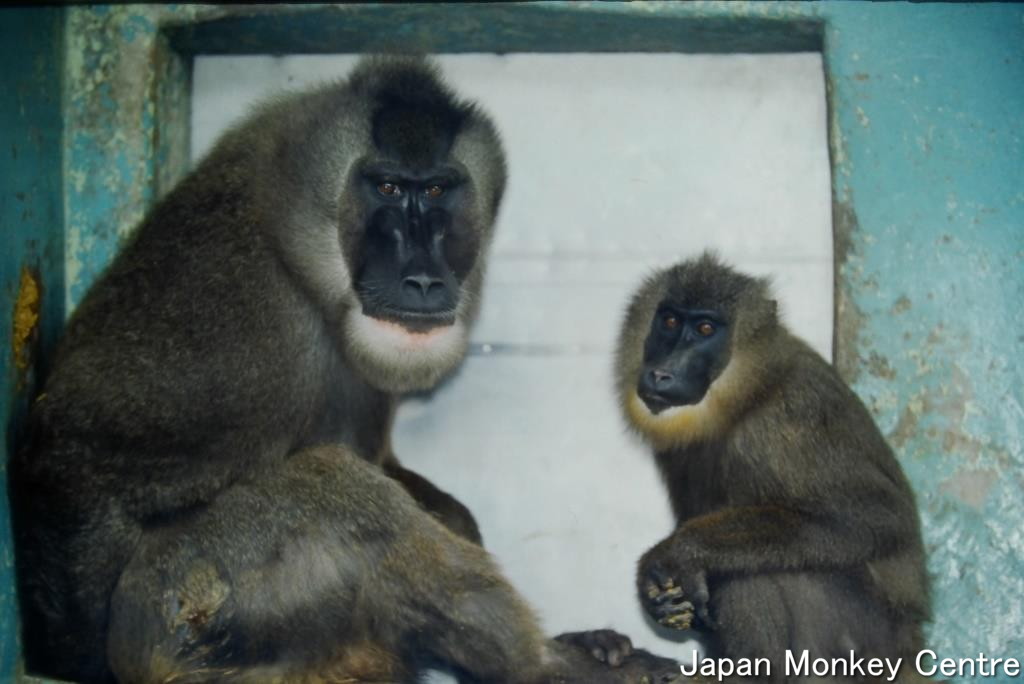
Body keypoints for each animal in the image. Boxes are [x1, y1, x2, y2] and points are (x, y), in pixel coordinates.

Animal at [16, 58, 679, 684]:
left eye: (435, 191)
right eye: (385, 186)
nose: (422, 277)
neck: (301, 254)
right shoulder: (229, 300)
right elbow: (72, 453)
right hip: (185, 603)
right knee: (332, 486)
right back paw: (544, 664)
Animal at [610, 253, 933, 679]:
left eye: (705, 328)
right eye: (670, 321)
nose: (662, 372)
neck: (743, 395)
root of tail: (910, 653)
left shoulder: (787, 422)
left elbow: (874, 517)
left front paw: (677, 554)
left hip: (858, 647)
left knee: (751, 570)